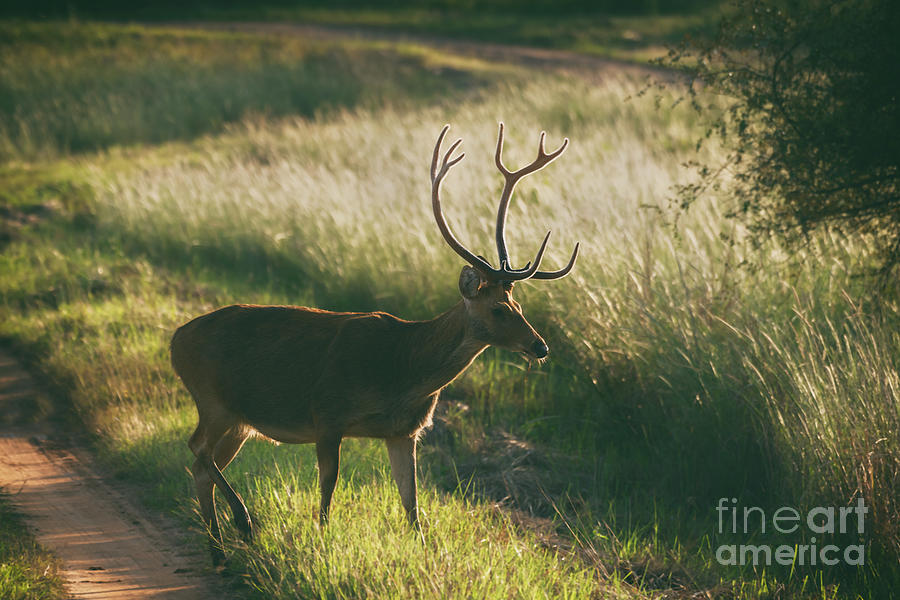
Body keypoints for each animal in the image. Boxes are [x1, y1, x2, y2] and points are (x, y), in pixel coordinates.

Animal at [170, 123, 579, 566]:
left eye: (519, 304)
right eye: (499, 309)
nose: (540, 347)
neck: (402, 372)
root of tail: (175, 340)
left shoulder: (405, 432)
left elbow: (412, 504)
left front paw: (424, 555)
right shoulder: (327, 413)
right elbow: (328, 493)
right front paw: (322, 545)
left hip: (239, 419)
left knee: (202, 465)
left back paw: (218, 550)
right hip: (212, 398)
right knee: (196, 448)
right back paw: (242, 524)